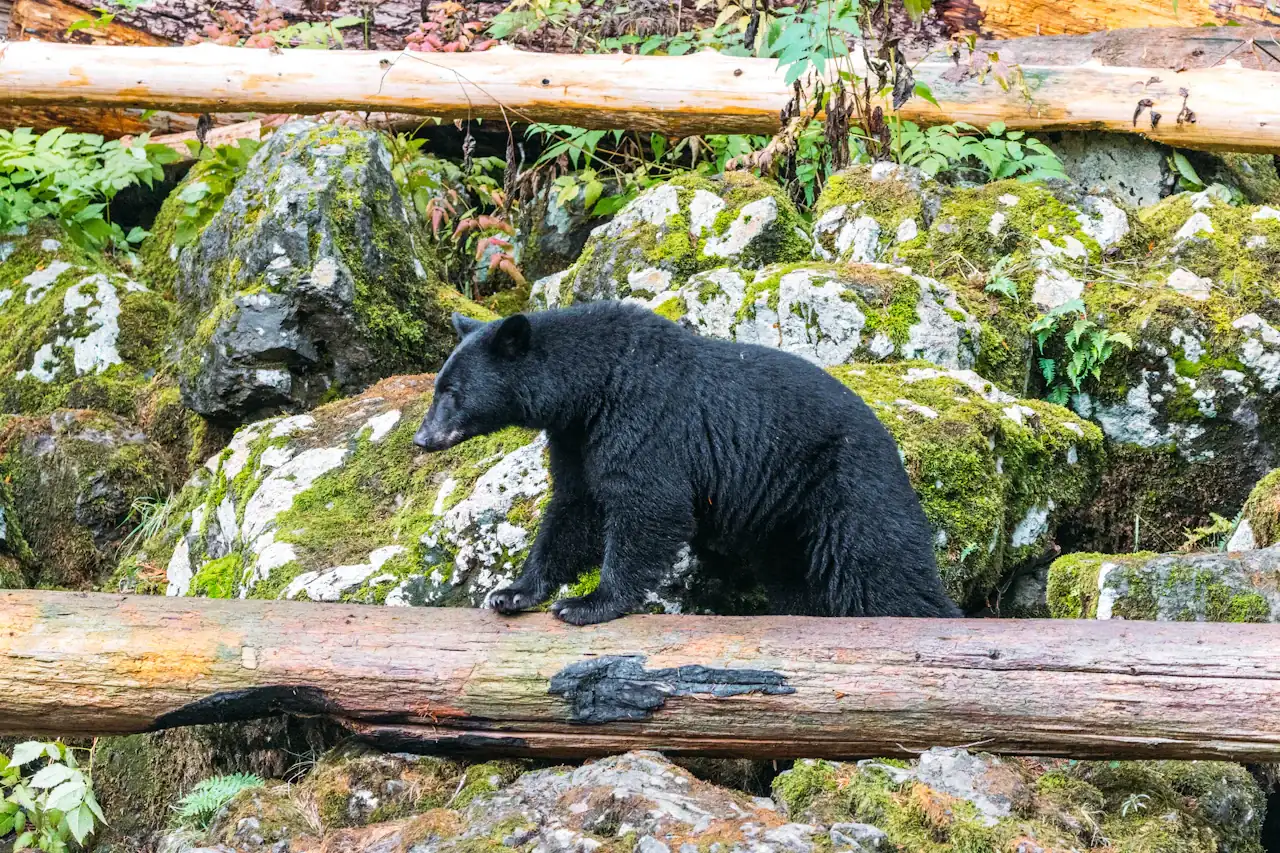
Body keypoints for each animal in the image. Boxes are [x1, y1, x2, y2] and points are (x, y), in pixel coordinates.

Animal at [413, 302, 961, 625]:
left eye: (452, 393)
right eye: (439, 386)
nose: (422, 438)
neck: (592, 387)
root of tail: (888, 438)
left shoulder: (647, 419)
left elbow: (648, 505)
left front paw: (589, 603)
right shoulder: (576, 439)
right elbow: (575, 508)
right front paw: (514, 591)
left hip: (846, 482)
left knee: (880, 563)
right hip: (784, 517)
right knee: (797, 578)